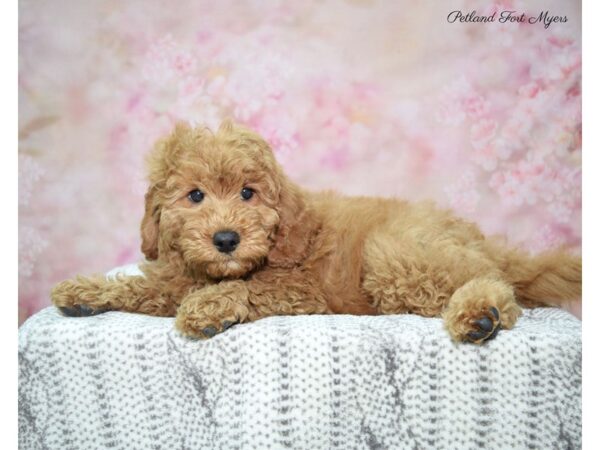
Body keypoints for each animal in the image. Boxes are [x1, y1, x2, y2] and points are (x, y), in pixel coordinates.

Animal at [50, 119, 580, 344]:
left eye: (248, 193)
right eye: (194, 196)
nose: (226, 240)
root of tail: (476, 235)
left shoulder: (298, 286)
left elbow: (252, 285)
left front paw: (210, 307)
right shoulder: (173, 277)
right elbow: (142, 288)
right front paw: (82, 291)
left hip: (392, 254)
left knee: (492, 283)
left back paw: (480, 313)